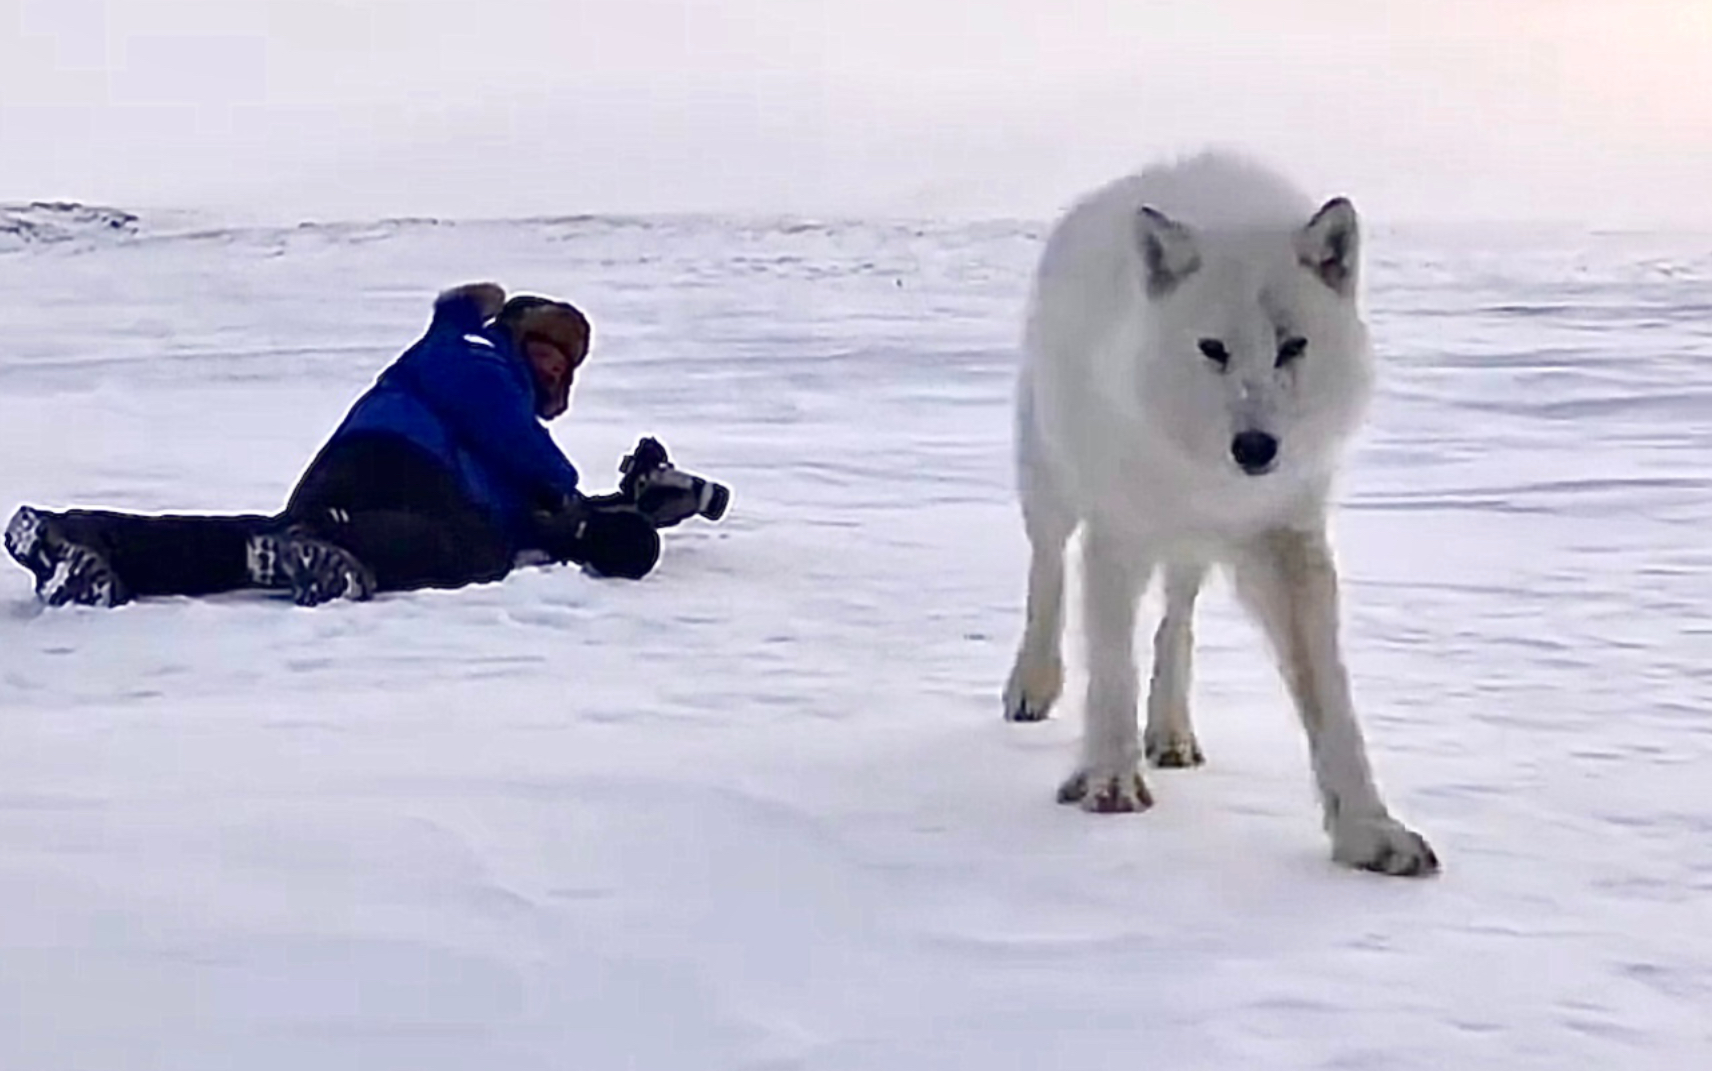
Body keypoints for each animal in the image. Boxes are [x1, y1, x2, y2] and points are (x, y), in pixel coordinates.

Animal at [1006, 150, 1438, 875]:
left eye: (1292, 346)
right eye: (1213, 348)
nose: (1256, 447)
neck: (1206, 476)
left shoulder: (1289, 544)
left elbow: (1330, 703)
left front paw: (1370, 831)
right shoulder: (1118, 537)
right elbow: (1111, 669)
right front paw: (1109, 780)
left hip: (1194, 551)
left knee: (1176, 620)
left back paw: (1171, 731)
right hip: (1051, 489)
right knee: (1046, 573)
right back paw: (1031, 685)